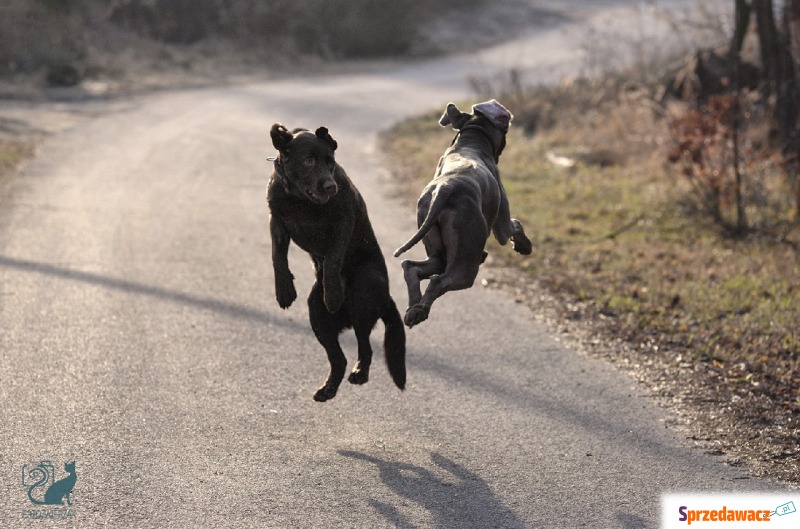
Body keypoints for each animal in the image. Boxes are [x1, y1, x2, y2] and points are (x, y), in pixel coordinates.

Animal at [268, 122, 406, 400]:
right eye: (309, 161)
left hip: (362, 296)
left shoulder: (343, 222)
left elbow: (332, 260)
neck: (299, 199)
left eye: (330, 162)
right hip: (316, 314)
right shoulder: (277, 221)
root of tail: (387, 298)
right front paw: (284, 290)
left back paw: (360, 373)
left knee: (365, 347)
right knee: (339, 359)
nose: (331, 187)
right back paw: (328, 390)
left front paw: (332, 295)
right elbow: (278, 257)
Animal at [394, 100, 532, 326]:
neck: (471, 141)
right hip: (466, 263)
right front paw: (524, 245)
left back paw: (413, 309)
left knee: (412, 268)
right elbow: (515, 225)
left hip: (434, 243)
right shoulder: (502, 226)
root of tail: (444, 189)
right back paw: (420, 310)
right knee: (438, 281)